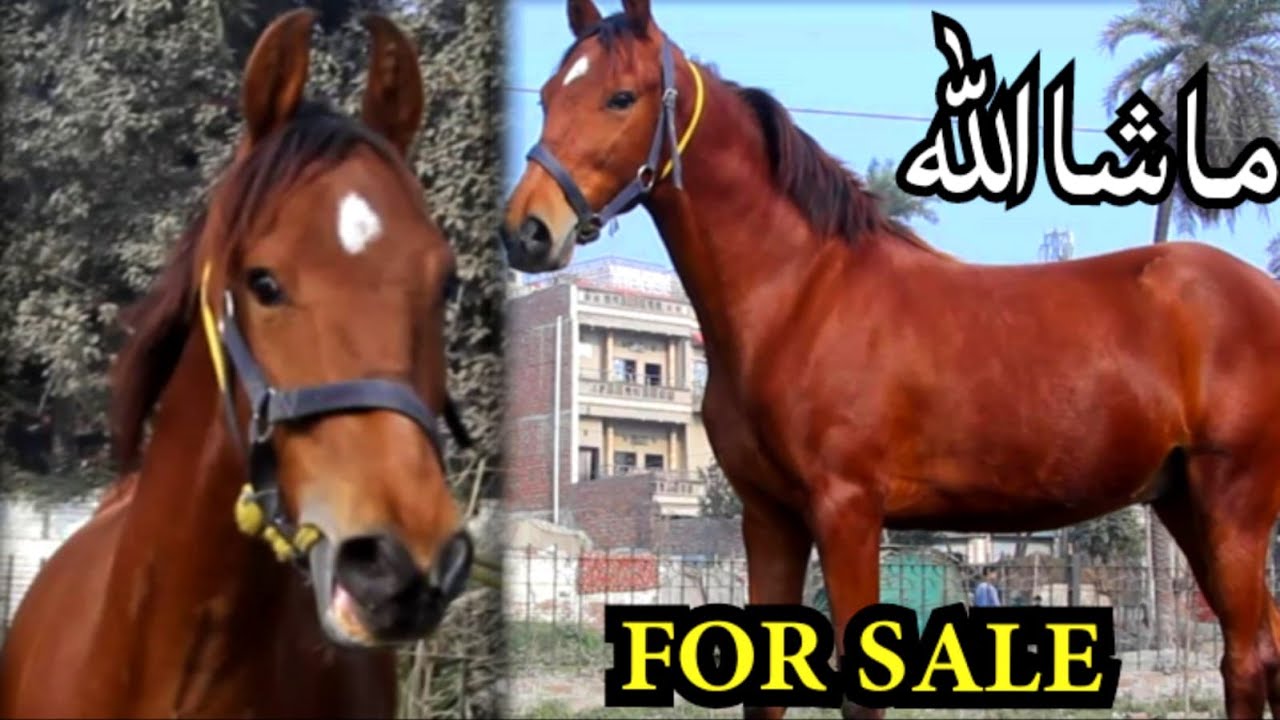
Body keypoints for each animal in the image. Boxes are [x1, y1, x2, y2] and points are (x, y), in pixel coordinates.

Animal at [500, 1, 1280, 718]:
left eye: (621, 97)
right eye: (546, 96)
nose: (527, 232)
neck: (803, 294)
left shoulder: (848, 510)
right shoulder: (769, 516)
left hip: (1233, 503)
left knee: (1245, 658)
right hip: (1184, 501)